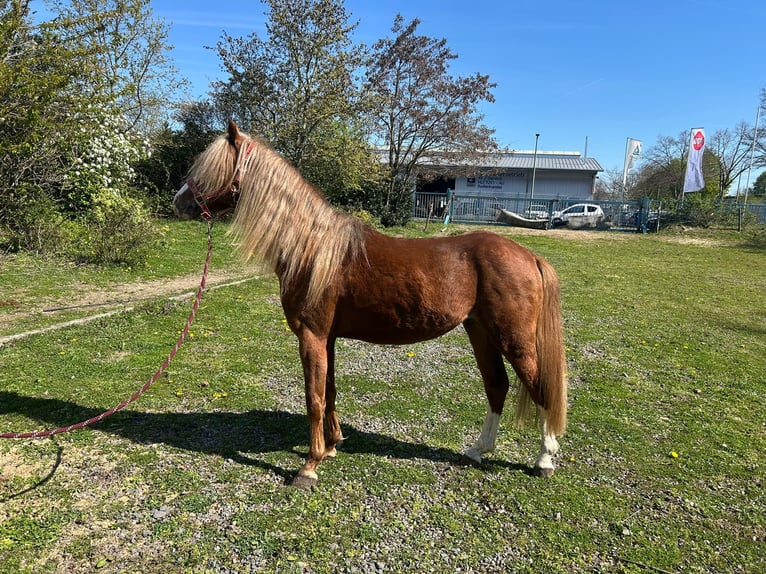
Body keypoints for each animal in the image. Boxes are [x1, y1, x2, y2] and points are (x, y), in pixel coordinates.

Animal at [173, 120, 567, 488]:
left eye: (210, 169)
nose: (179, 202)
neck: (311, 248)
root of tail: (530, 256)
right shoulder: (327, 339)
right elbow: (329, 391)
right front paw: (332, 445)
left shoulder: (311, 337)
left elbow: (314, 398)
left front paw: (309, 466)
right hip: (481, 332)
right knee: (497, 386)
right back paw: (477, 450)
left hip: (513, 339)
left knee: (540, 388)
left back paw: (544, 460)